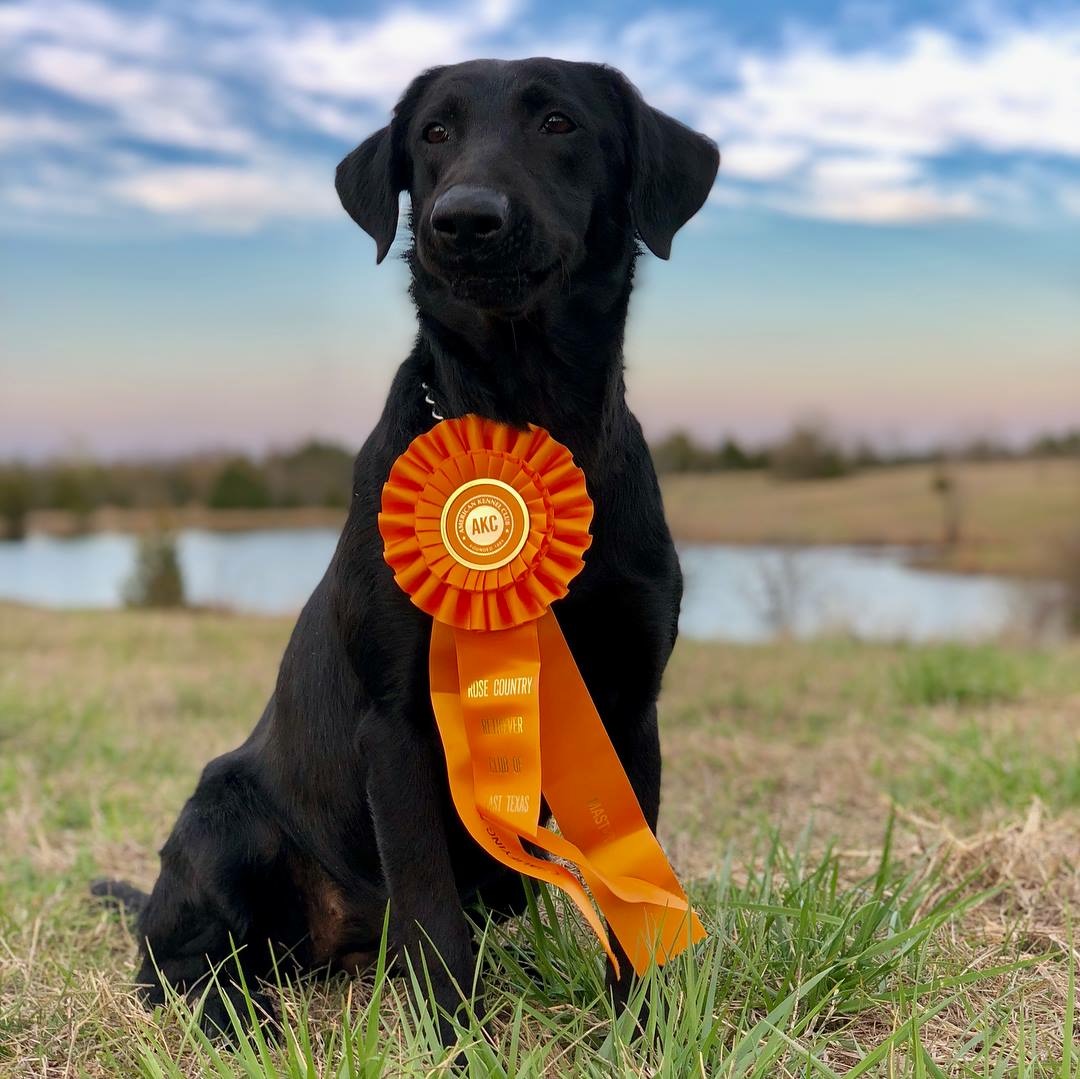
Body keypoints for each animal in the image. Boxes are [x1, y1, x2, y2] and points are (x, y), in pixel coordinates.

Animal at [92, 59, 717, 1045]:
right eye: (434, 133)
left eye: (559, 122)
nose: (464, 218)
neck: (523, 411)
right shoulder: (399, 721)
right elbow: (428, 903)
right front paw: (455, 1039)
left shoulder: (628, 705)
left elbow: (631, 887)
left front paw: (644, 1025)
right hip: (223, 817)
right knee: (180, 956)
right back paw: (241, 1011)